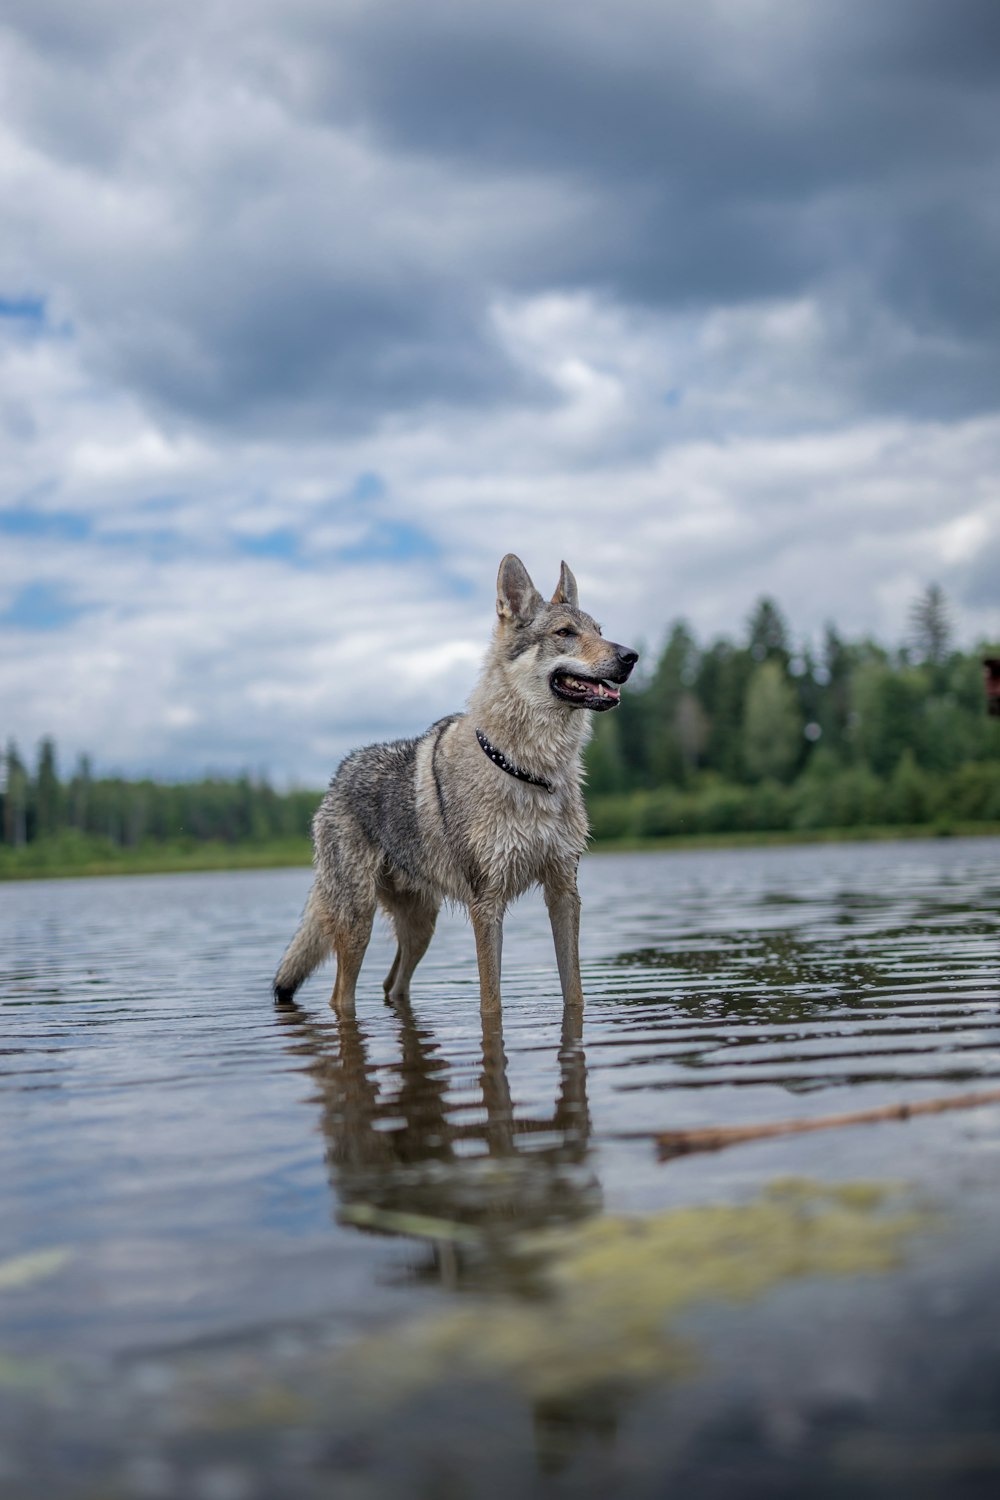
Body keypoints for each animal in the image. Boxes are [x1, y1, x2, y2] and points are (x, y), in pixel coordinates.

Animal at [269, 558, 638, 1014]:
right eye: (565, 633)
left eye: (599, 631)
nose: (631, 656)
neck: (530, 771)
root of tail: (338, 776)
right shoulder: (487, 904)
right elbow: (491, 1002)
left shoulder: (564, 892)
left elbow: (575, 993)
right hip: (358, 925)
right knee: (342, 996)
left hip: (421, 926)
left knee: (392, 985)